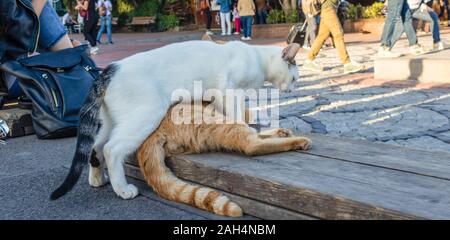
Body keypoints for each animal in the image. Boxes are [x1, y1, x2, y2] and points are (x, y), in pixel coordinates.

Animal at [51, 40, 300, 200]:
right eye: (295, 78)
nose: (292, 90)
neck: (257, 58)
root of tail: (107, 71)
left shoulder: (220, 97)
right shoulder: (231, 91)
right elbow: (239, 119)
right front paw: (254, 130)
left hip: (111, 122)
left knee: (95, 145)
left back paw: (97, 179)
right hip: (146, 116)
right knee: (111, 149)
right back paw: (122, 190)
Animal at [134, 102, 312, 218]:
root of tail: (151, 134)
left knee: (253, 136)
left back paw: (281, 133)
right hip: (214, 119)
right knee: (251, 144)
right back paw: (297, 141)